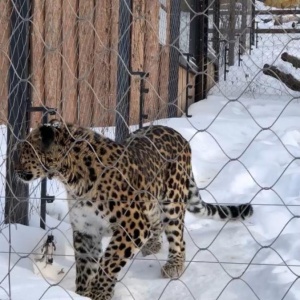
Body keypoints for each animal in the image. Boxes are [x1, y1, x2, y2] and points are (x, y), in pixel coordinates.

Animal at [14, 119, 253, 300]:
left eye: (23, 151)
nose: (13, 168)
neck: (71, 177)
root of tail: (178, 135)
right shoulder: (86, 229)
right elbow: (85, 266)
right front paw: (82, 294)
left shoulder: (132, 225)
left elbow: (109, 261)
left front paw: (99, 293)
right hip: (152, 201)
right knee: (156, 223)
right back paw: (153, 245)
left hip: (172, 202)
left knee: (178, 236)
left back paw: (174, 265)